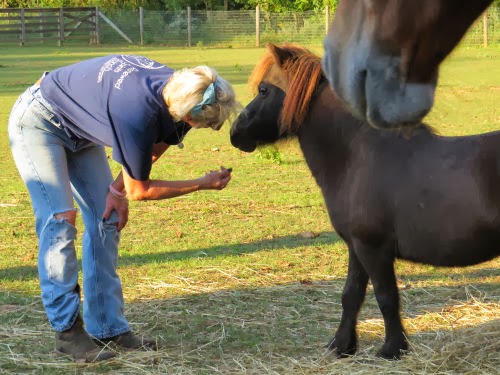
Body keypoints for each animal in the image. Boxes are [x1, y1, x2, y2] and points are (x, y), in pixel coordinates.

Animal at [230, 44, 500, 362]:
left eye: (263, 90)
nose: (235, 132)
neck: (353, 155)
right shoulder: (356, 247)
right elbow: (351, 295)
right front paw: (341, 346)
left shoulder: (373, 249)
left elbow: (386, 297)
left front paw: (392, 348)